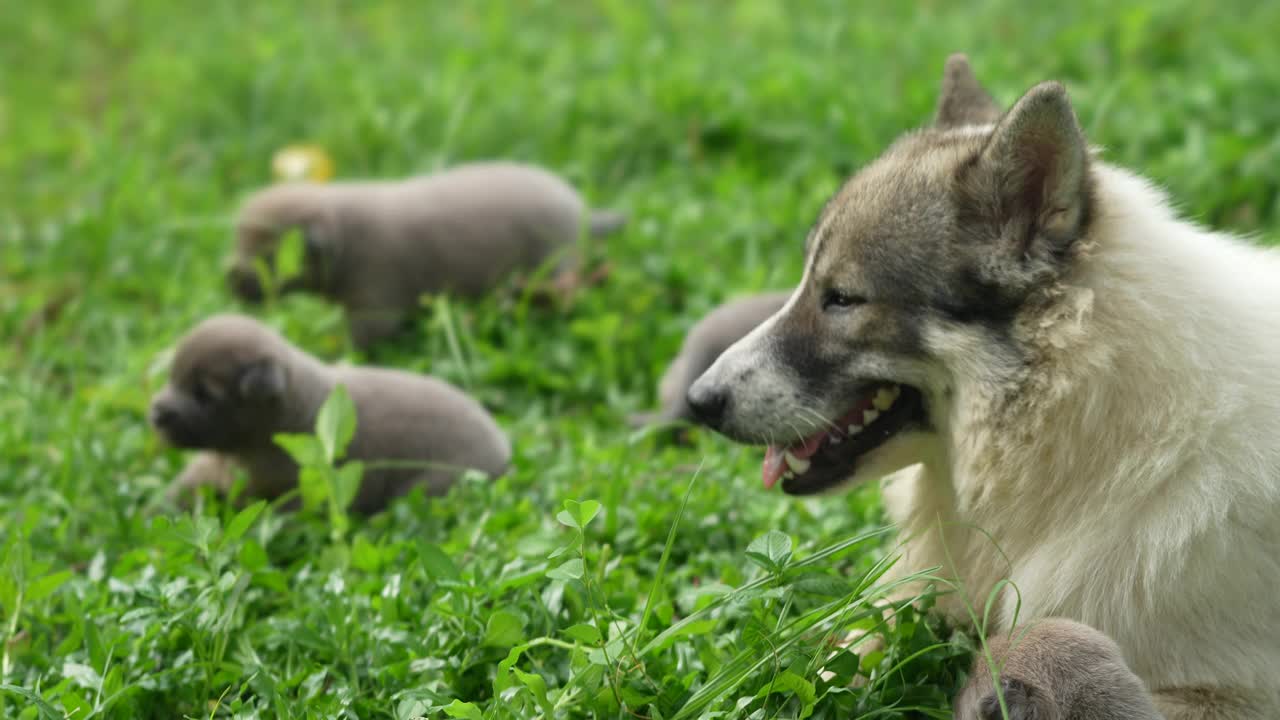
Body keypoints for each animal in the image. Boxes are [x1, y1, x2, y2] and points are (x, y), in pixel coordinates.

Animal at [149, 313, 509, 509]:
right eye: (172, 378)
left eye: (204, 394)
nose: (156, 413)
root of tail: (502, 444)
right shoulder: (215, 464)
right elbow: (186, 484)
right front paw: (155, 511)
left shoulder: (289, 490)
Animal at [230, 162, 629, 351]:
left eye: (268, 258)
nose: (230, 280)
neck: (344, 234)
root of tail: (581, 212)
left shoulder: (376, 296)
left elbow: (366, 335)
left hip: (553, 259)